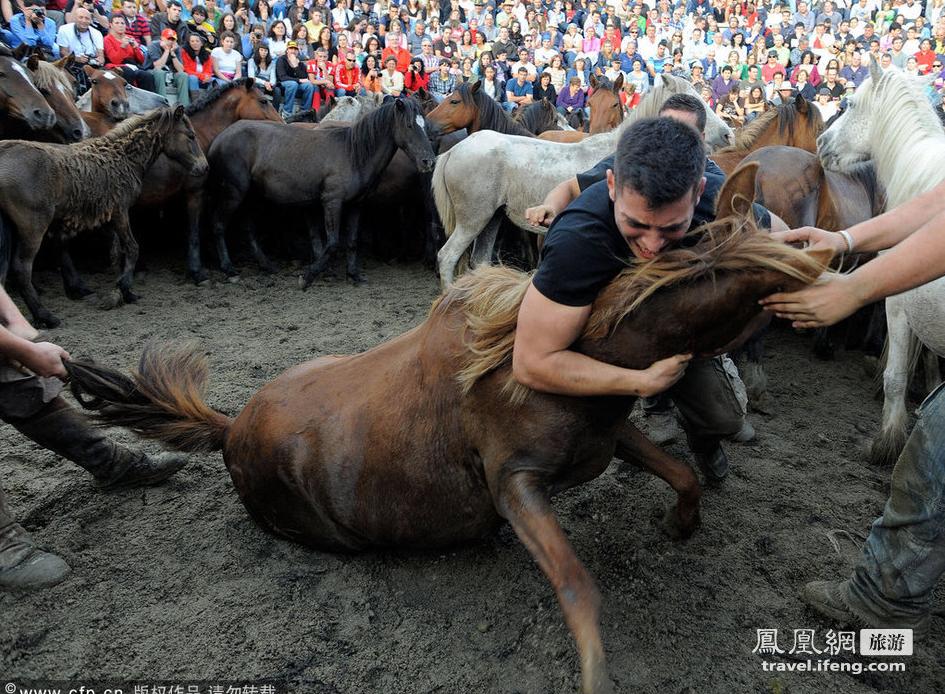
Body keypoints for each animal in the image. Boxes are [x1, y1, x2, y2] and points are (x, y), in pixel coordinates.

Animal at [0, 106, 207, 328]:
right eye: (191, 135)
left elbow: (113, 251)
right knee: (22, 268)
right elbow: (132, 248)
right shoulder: (120, 211)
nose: (204, 167)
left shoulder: (104, 218)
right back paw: (45, 316)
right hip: (33, 228)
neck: (122, 157)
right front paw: (124, 289)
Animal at [64, 167, 824, 694]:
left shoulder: (607, 438)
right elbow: (576, 584)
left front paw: (680, 525)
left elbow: (683, 474)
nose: (819, 266)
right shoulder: (514, 483)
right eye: (735, 267)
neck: (545, 363)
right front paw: (596, 674)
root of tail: (229, 428)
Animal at [432, 73, 732, 286]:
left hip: (491, 219)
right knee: (446, 258)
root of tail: (453, 151)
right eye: (694, 100)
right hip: (473, 219)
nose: (728, 134)